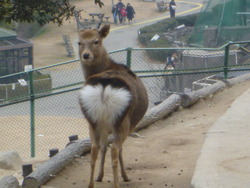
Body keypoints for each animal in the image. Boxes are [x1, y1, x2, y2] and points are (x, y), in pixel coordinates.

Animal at [78, 23, 148, 188]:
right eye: (79, 42)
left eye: (96, 41)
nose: (86, 55)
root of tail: (104, 87)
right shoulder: (126, 125)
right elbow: (117, 149)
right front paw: (125, 176)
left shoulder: (102, 126)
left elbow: (103, 147)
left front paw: (99, 176)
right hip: (122, 121)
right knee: (116, 149)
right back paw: (117, 183)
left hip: (92, 120)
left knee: (94, 149)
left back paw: (90, 184)